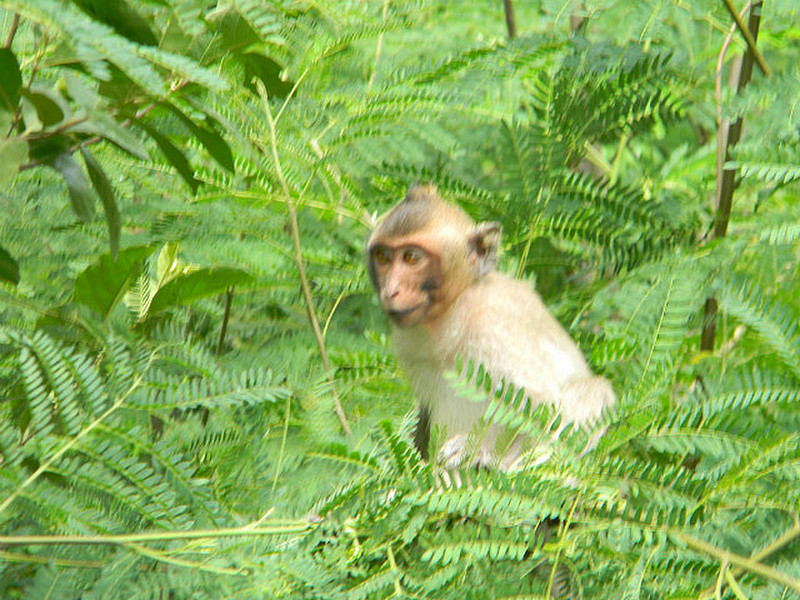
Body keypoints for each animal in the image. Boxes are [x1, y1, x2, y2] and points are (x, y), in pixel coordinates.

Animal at [366, 185, 616, 472]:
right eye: (383, 257)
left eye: (411, 257)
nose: (390, 290)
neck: (456, 309)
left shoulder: (492, 324)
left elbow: (544, 407)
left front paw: (477, 454)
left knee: (594, 391)